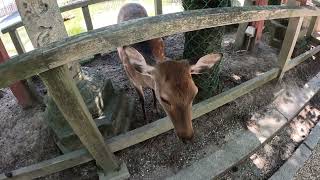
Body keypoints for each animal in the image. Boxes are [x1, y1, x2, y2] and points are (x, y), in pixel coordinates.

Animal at [117, 2, 222, 141]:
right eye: (165, 98)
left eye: (194, 93)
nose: (187, 136)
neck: (142, 77)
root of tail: (129, 3)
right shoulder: (133, 81)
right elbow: (142, 99)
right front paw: (145, 119)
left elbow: (153, 91)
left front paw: (156, 109)